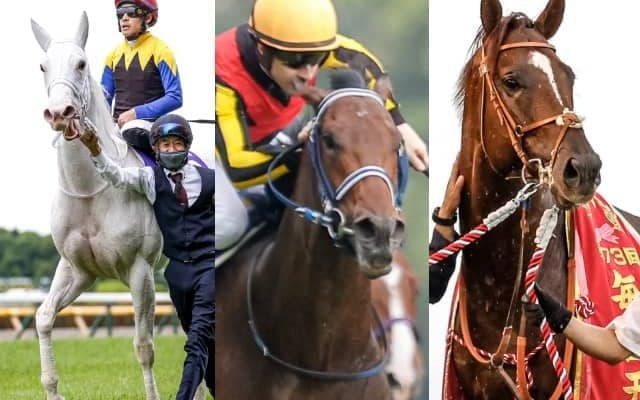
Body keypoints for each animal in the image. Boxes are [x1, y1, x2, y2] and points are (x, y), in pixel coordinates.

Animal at [31, 12, 164, 400]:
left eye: (81, 63)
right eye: (43, 65)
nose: (59, 112)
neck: (90, 192)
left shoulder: (141, 271)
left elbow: (144, 346)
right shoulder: (77, 270)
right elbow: (43, 318)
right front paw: (53, 389)